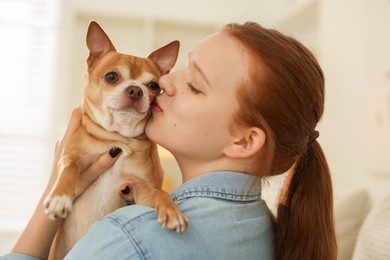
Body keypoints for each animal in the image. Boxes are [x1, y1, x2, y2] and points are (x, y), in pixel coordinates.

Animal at [43, 21, 188, 258]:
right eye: (111, 77)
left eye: (153, 86)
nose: (135, 90)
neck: (119, 138)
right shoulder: (71, 157)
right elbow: (69, 170)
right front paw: (59, 198)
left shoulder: (141, 188)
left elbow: (160, 193)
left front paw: (172, 211)